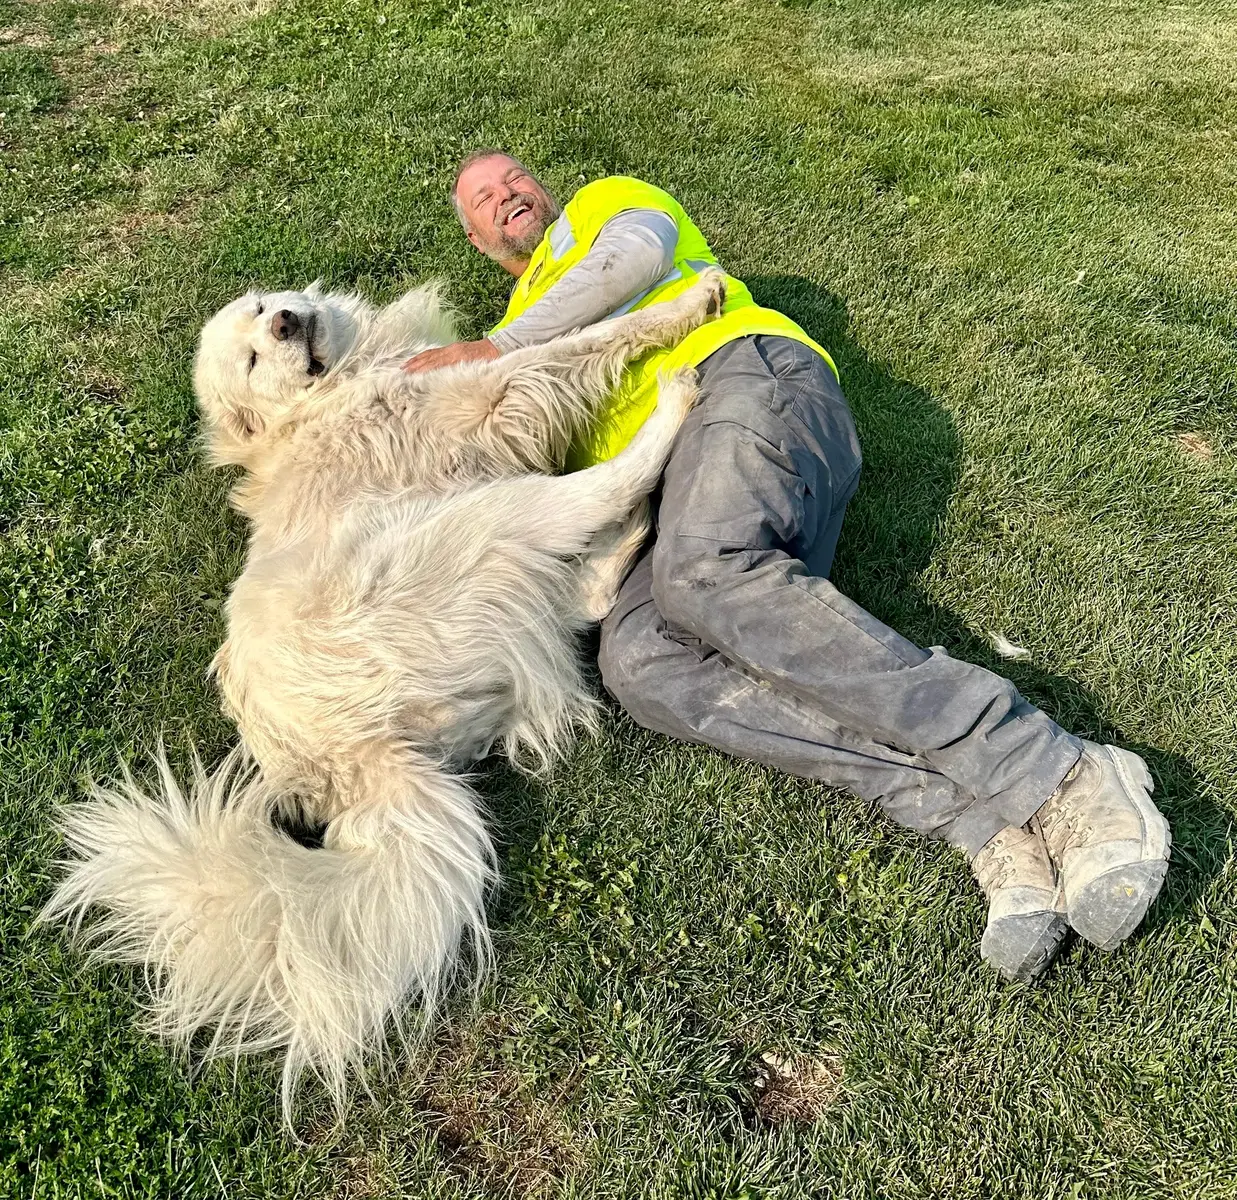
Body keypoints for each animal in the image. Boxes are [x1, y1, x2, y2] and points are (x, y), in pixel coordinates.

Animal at [43, 267, 727, 1118]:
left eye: (261, 309)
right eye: (250, 357)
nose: (285, 323)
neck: (320, 398)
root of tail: (355, 758)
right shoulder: (483, 391)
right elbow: (578, 341)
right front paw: (689, 304)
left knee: (584, 602)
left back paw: (631, 526)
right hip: (485, 519)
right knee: (592, 497)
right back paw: (669, 411)